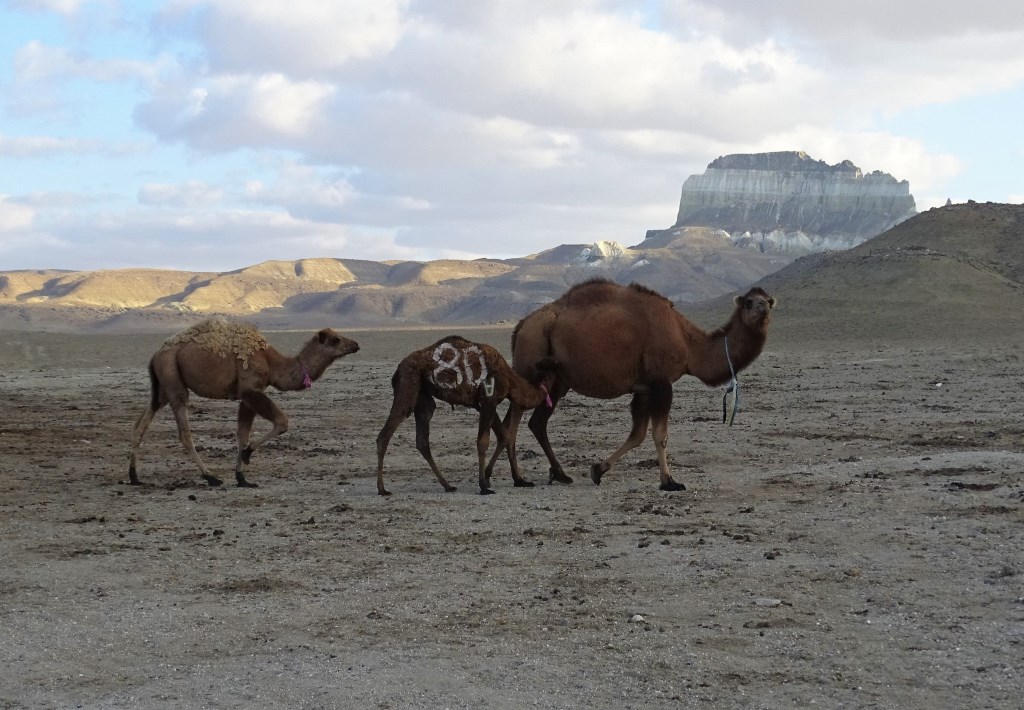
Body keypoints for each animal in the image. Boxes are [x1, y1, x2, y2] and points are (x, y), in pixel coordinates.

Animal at [129, 317, 360, 487]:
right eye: (335, 340)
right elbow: (282, 422)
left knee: (141, 423)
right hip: (173, 380)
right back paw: (210, 477)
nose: (356, 344)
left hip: (162, 387)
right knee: (183, 432)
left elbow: (242, 434)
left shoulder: (247, 397)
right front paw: (248, 455)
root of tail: (155, 355)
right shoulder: (250, 390)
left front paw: (242, 478)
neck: (273, 363)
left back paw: (134, 476)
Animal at [376, 336, 557, 495]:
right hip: (408, 387)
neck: (511, 382)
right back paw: (382, 489)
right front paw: (484, 486)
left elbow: (505, 436)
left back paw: (448, 486)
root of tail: (398, 370)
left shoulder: (483, 404)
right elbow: (483, 442)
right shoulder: (488, 400)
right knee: (384, 435)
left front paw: (518, 480)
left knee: (422, 440)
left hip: (423, 397)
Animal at [487, 280, 774, 489]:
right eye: (750, 302)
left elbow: (638, 434)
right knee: (516, 418)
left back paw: (557, 474)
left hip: (558, 380)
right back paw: (517, 478)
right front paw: (669, 481)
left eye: (767, 300)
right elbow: (660, 434)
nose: (764, 309)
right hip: (531, 360)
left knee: (536, 422)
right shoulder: (661, 383)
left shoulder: (644, 388)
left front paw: (597, 469)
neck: (688, 341)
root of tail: (520, 326)